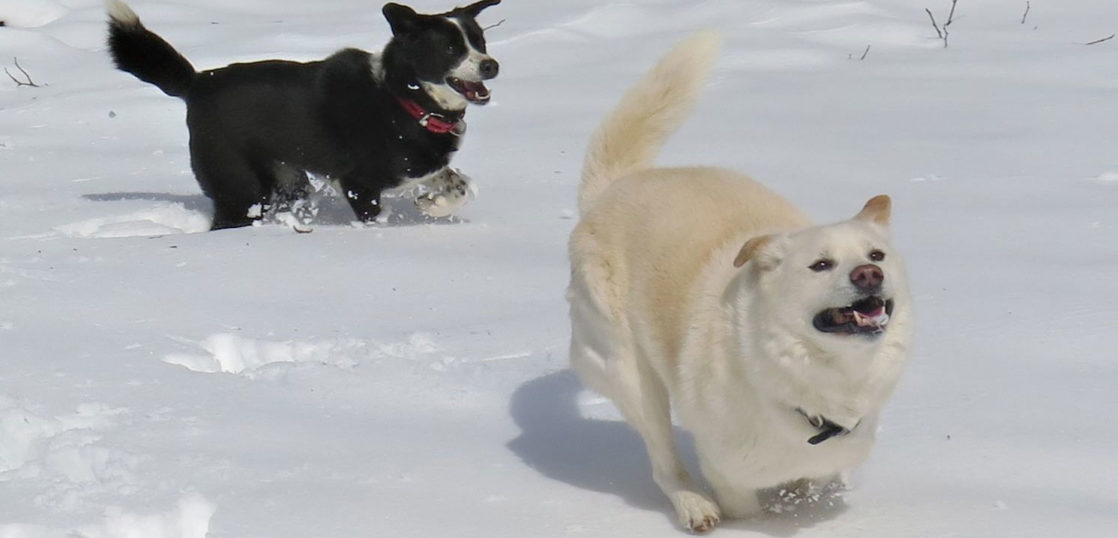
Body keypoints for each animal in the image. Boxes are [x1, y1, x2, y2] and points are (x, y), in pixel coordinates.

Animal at [105, 0, 498, 228]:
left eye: (480, 42)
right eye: (451, 49)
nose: (491, 65)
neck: (401, 98)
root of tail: (197, 82)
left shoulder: (419, 165)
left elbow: (461, 184)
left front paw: (433, 205)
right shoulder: (358, 184)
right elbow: (376, 217)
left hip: (287, 178)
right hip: (239, 187)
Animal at [567, 31, 907, 530]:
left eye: (876, 255)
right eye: (820, 265)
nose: (869, 274)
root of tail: (613, 190)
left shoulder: (828, 460)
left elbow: (813, 483)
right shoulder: (729, 471)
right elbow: (745, 507)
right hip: (630, 374)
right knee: (663, 462)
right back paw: (693, 505)